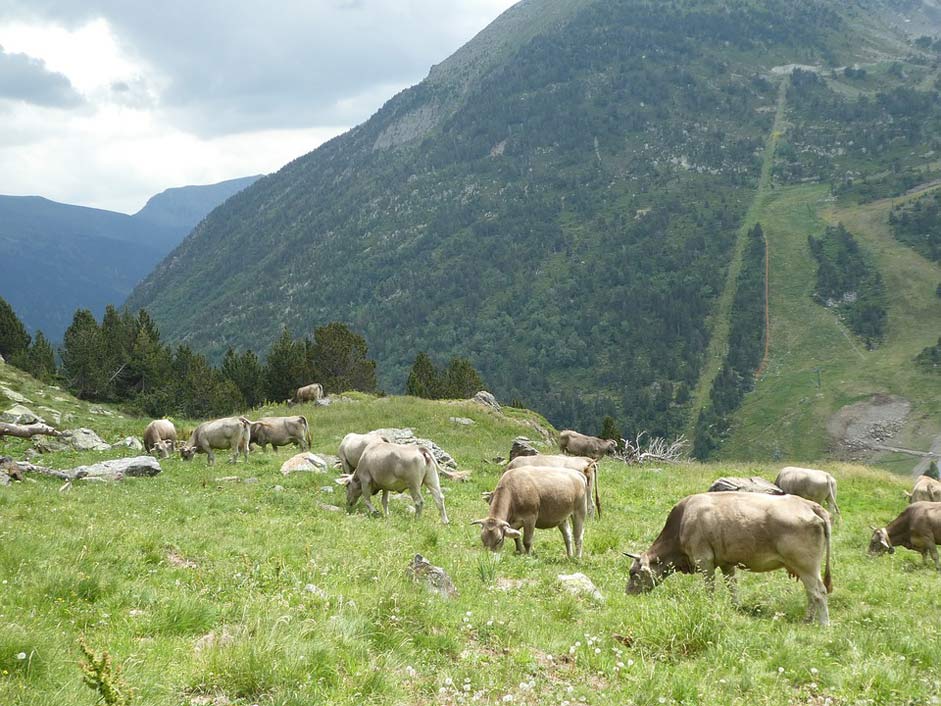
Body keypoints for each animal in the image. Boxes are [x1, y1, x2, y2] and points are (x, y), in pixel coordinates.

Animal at [624, 490, 828, 620]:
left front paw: (709, 607)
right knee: (811, 593)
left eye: (633, 573)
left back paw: (823, 625)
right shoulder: (726, 563)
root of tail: (808, 504)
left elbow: (710, 588)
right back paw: (807, 620)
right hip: (803, 569)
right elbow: (732, 586)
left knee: (819, 592)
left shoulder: (704, 560)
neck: (682, 522)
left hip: (807, 566)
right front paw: (736, 607)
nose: (627, 594)